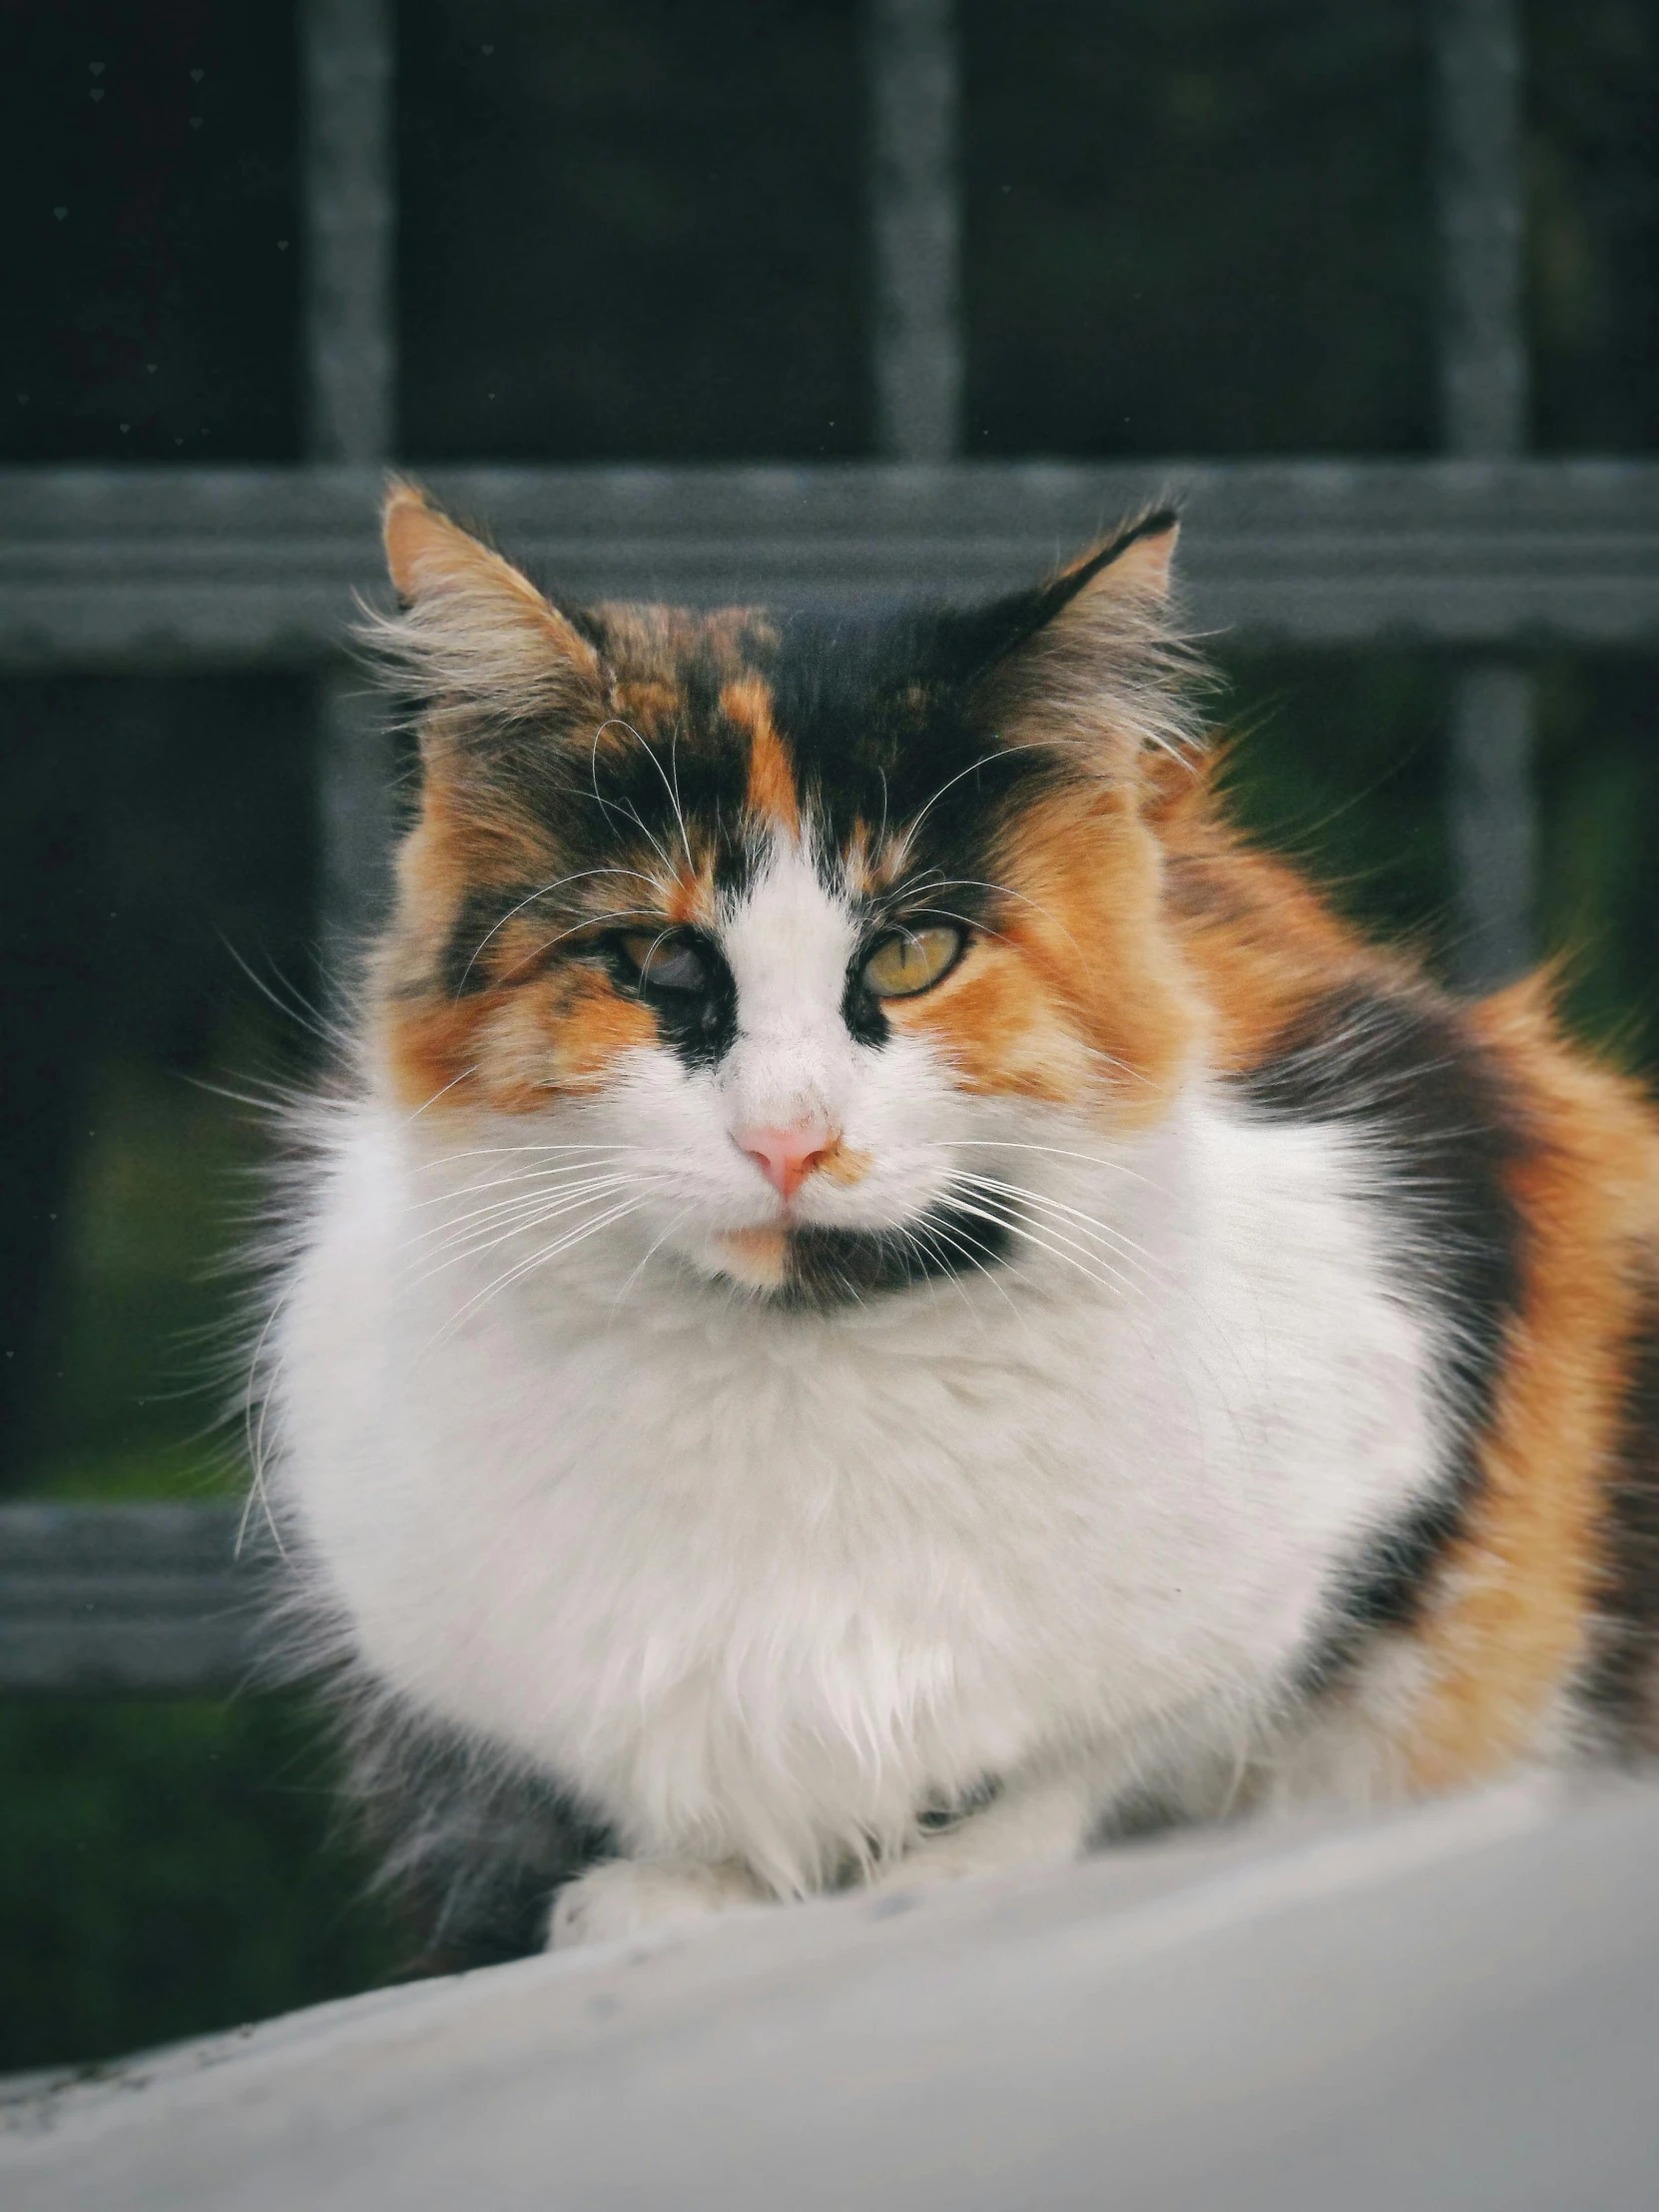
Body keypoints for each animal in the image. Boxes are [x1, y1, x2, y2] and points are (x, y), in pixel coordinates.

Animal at [260, 479, 1659, 1954]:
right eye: (652, 962)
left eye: (913, 955)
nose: (788, 1135)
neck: (802, 1381)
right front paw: (672, 1893)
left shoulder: (1363, 1454)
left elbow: (1104, 1751)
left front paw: (961, 1865)